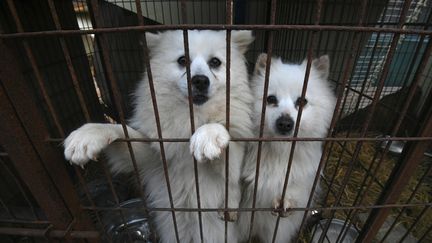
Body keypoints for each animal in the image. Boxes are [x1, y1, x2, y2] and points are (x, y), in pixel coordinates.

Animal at [238, 54, 336, 242]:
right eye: (270, 99)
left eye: (302, 101)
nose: (285, 123)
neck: (279, 150)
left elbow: (295, 187)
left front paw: (285, 200)